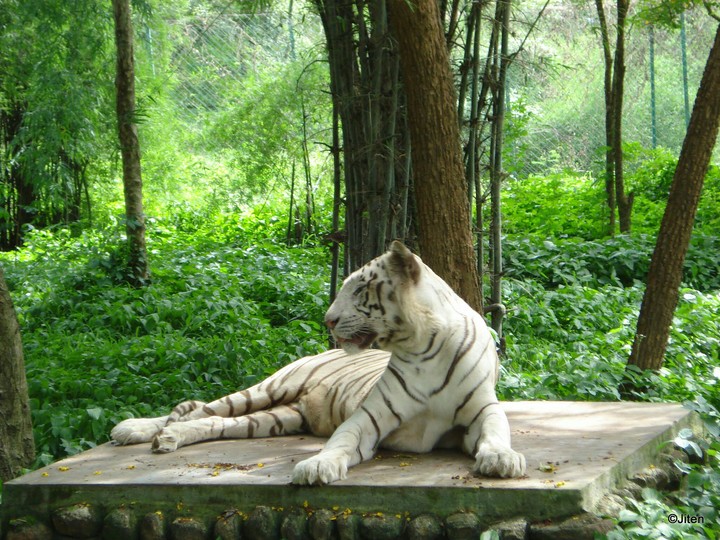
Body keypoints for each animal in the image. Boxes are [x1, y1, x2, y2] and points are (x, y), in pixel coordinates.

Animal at [111, 241, 526, 485]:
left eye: (360, 288)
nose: (327, 320)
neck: (422, 342)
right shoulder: (370, 414)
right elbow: (344, 440)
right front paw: (317, 467)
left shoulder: (481, 411)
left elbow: (496, 431)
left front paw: (502, 459)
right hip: (272, 386)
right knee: (197, 409)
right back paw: (139, 429)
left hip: (277, 418)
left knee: (214, 422)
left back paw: (167, 438)